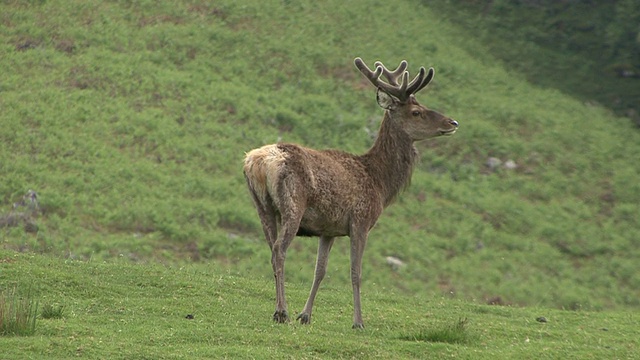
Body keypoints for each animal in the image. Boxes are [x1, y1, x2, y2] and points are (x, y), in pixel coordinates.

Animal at [242, 57, 458, 330]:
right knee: (280, 250)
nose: (452, 123)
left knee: (271, 249)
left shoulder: (329, 229)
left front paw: (306, 315)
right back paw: (282, 311)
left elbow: (320, 270)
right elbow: (356, 272)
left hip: (262, 206)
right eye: (416, 112)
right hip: (293, 204)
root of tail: (257, 162)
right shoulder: (360, 221)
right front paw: (358, 321)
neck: (380, 183)